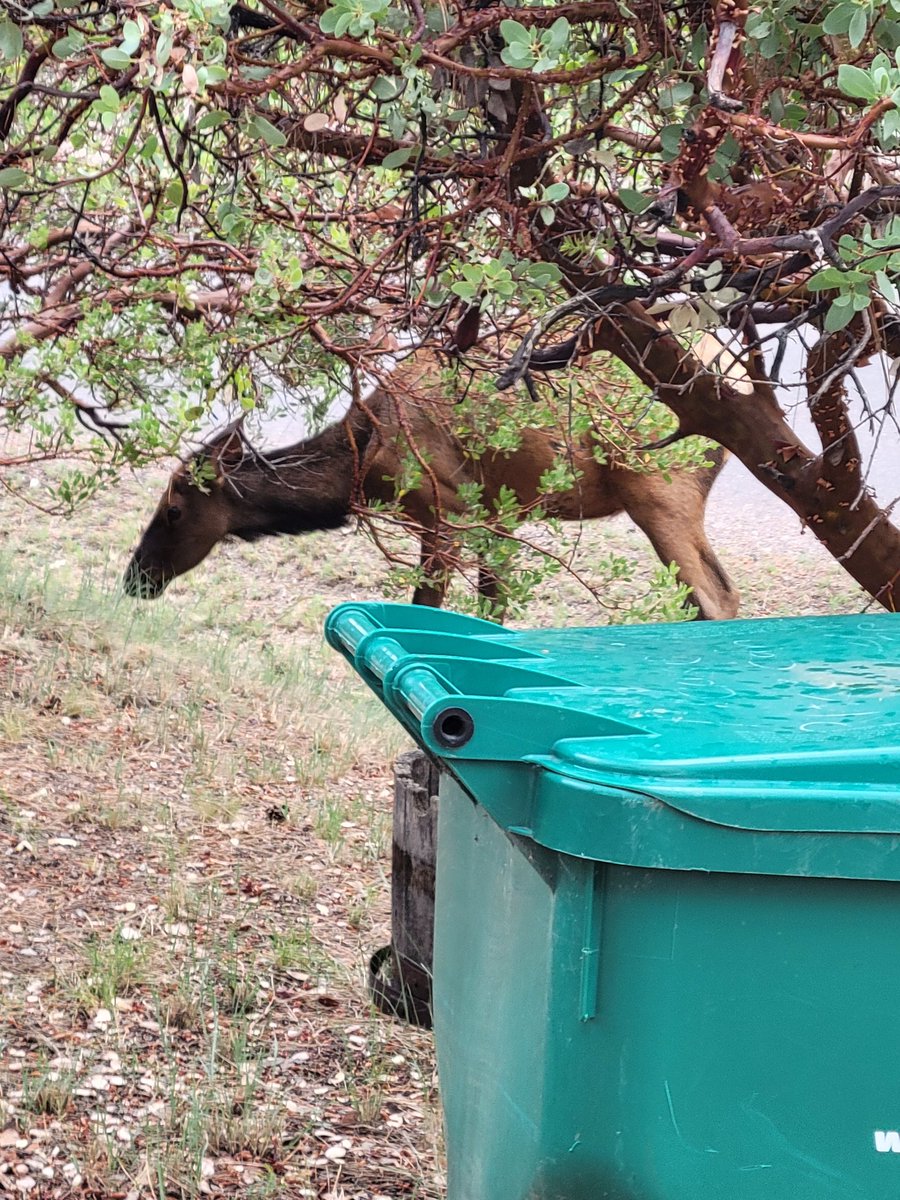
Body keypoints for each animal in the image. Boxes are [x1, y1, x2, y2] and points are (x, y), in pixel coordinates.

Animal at [123, 344, 740, 620]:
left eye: (173, 510)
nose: (134, 578)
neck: (361, 465)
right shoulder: (498, 514)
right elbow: (494, 605)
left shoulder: (445, 511)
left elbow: (428, 603)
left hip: (659, 490)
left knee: (716, 596)